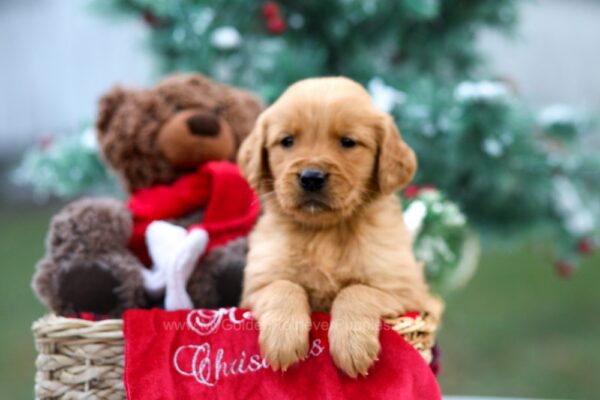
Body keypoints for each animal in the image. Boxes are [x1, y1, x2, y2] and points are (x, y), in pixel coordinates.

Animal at [238, 77, 440, 378]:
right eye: (287, 141)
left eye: (348, 142)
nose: (311, 177)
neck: (326, 233)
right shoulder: (254, 288)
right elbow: (284, 286)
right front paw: (283, 338)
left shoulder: (408, 293)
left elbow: (356, 290)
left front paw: (352, 345)